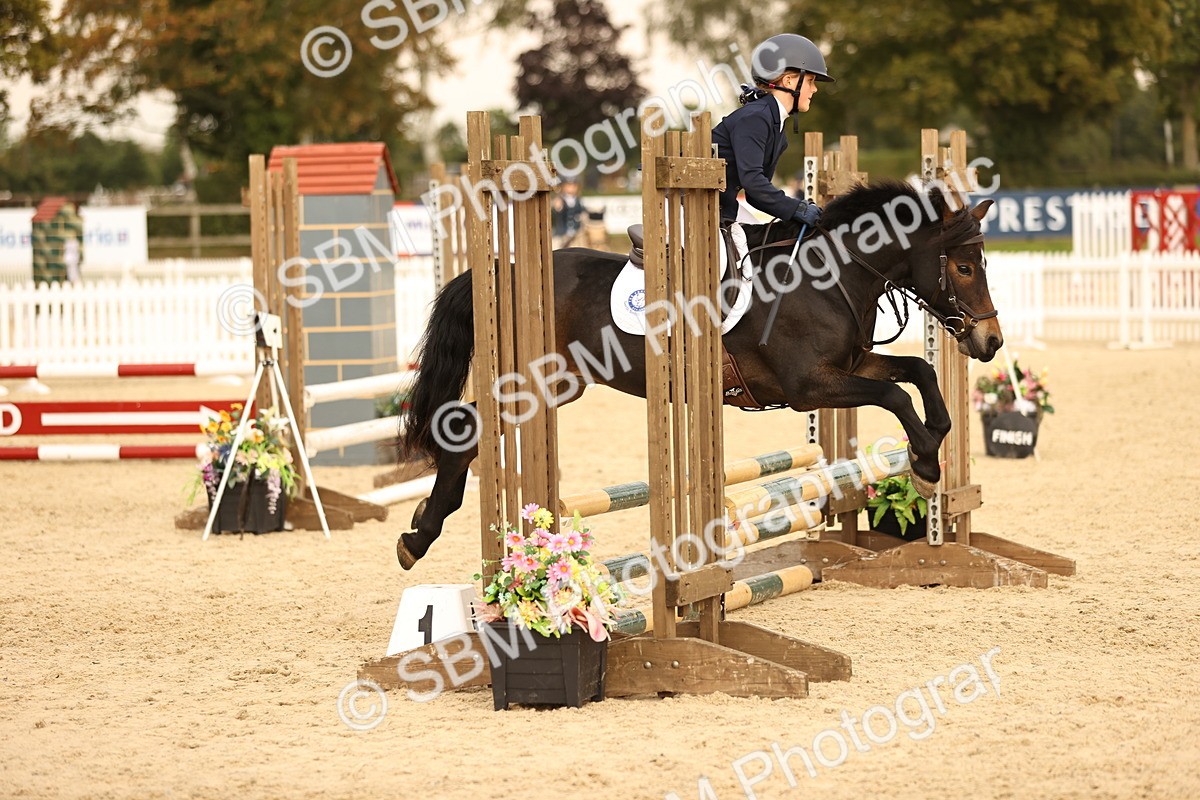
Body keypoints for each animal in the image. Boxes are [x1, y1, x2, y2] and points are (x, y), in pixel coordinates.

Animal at [394, 181, 1001, 569]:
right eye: (963, 267)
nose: (990, 342)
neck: (831, 277)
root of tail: (503, 267)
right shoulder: (809, 385)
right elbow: (894, 394)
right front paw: (926, 463)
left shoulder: (848, 366)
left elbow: (917, 372)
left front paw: (936, 440)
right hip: (531, 382)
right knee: (465, 429)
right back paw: (421, 534)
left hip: (559, 386)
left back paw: (423, 525)